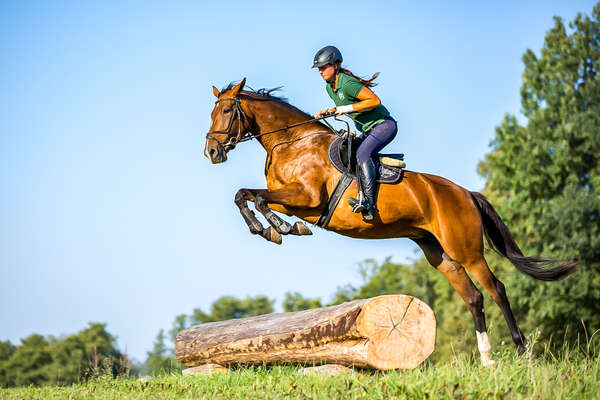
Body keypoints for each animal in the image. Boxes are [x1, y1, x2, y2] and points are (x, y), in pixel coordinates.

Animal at [204, 78, 580, 366]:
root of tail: (467, 194)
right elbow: (245, 195)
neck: (291, 142)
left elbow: (257, 198)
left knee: (496, 289)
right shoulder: (291, 199)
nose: (211, 152)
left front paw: (280, 229)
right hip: (439, 253)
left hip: (467, 250)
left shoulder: (307, 198)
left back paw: (522, 351)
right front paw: (270, 228)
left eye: (227, 111)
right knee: (474, 297)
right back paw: (487, 360)